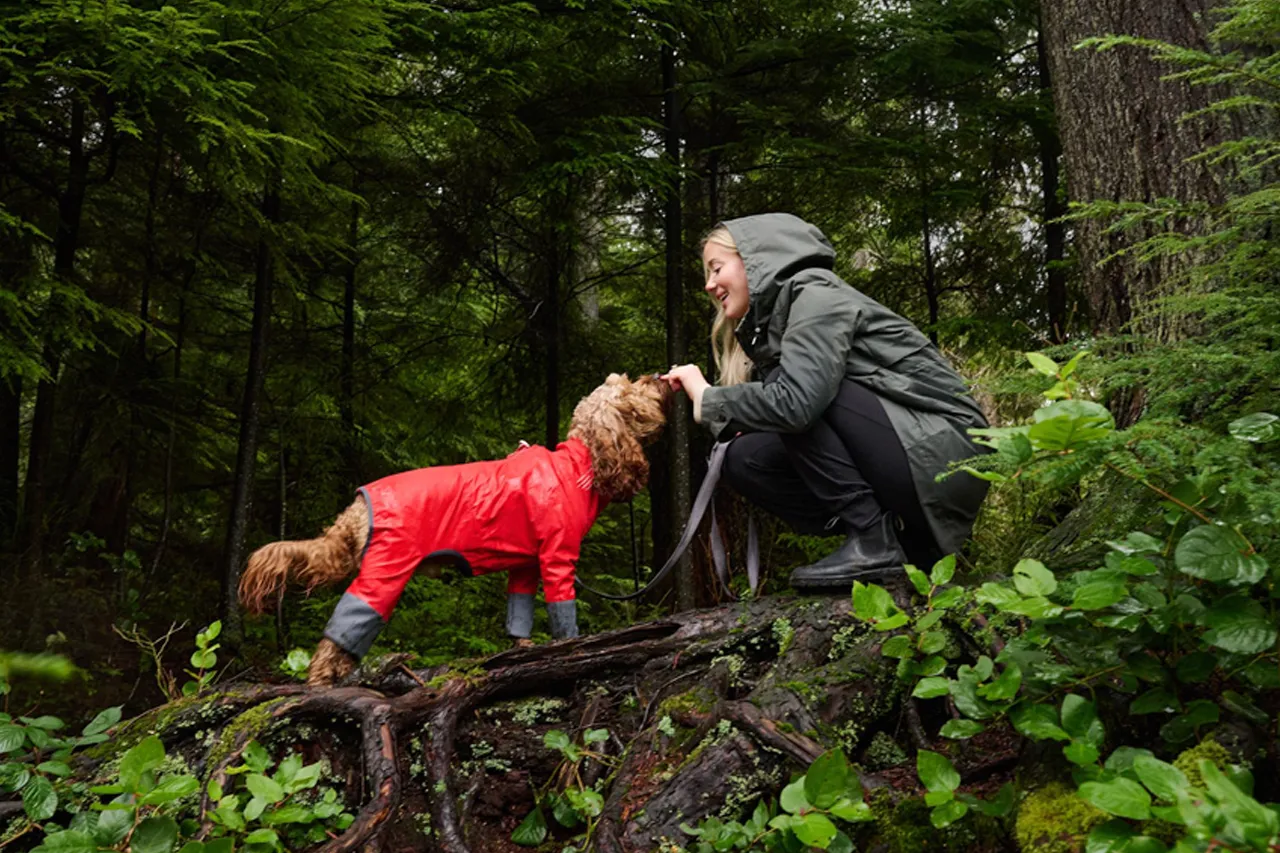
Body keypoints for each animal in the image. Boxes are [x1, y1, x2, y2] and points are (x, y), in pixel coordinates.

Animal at [239, 371, 670, 686]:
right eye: (630, 385)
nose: (657, 375)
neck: (582, 462)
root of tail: (359, 504)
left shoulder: (525, 564)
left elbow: (519, 613)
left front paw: (524, 649)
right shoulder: (557, 557)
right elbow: (563, 611)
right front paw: (571, 648)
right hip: (385, 571)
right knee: (341, 629)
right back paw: (321, 681)